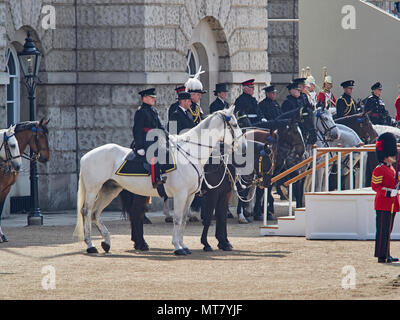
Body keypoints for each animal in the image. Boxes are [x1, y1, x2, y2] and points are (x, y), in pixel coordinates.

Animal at [73, 106, 245, 256]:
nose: (243, 147)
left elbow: (183, 220)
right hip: (93, 189)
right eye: (235, 124)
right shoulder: (181, 195)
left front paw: (183, 245)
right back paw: (91, 245)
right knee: (87, 212)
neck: (190, 154)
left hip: (110, 189)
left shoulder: (190, 196)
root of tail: (86, 156)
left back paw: (107, 242)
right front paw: (178, 247)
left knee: (95, 213)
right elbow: (177, 219)